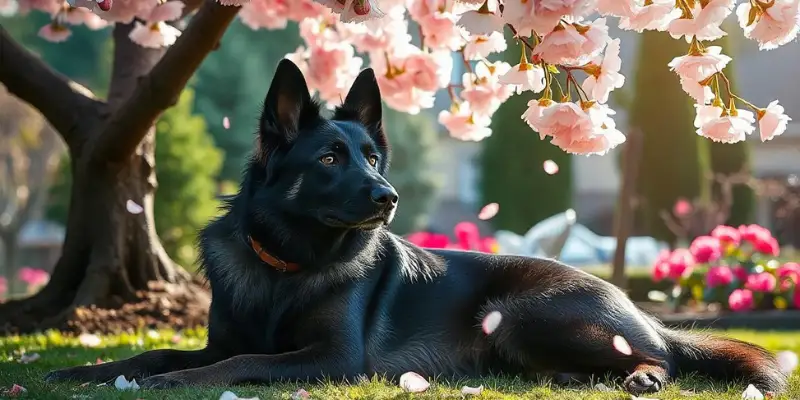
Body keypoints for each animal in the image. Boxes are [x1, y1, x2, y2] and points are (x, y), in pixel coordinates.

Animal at [45, 59, 788, 396]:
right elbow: (157, 353)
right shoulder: (215, 336)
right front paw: (95, 369)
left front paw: (171, 384)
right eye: (330, 158)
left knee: (660, 358)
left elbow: (237, 363)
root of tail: (637, 306)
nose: (390, 196)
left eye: (372, 157)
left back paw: (642, 376)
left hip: (518, 313)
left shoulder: (331, 359)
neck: (287, 266)